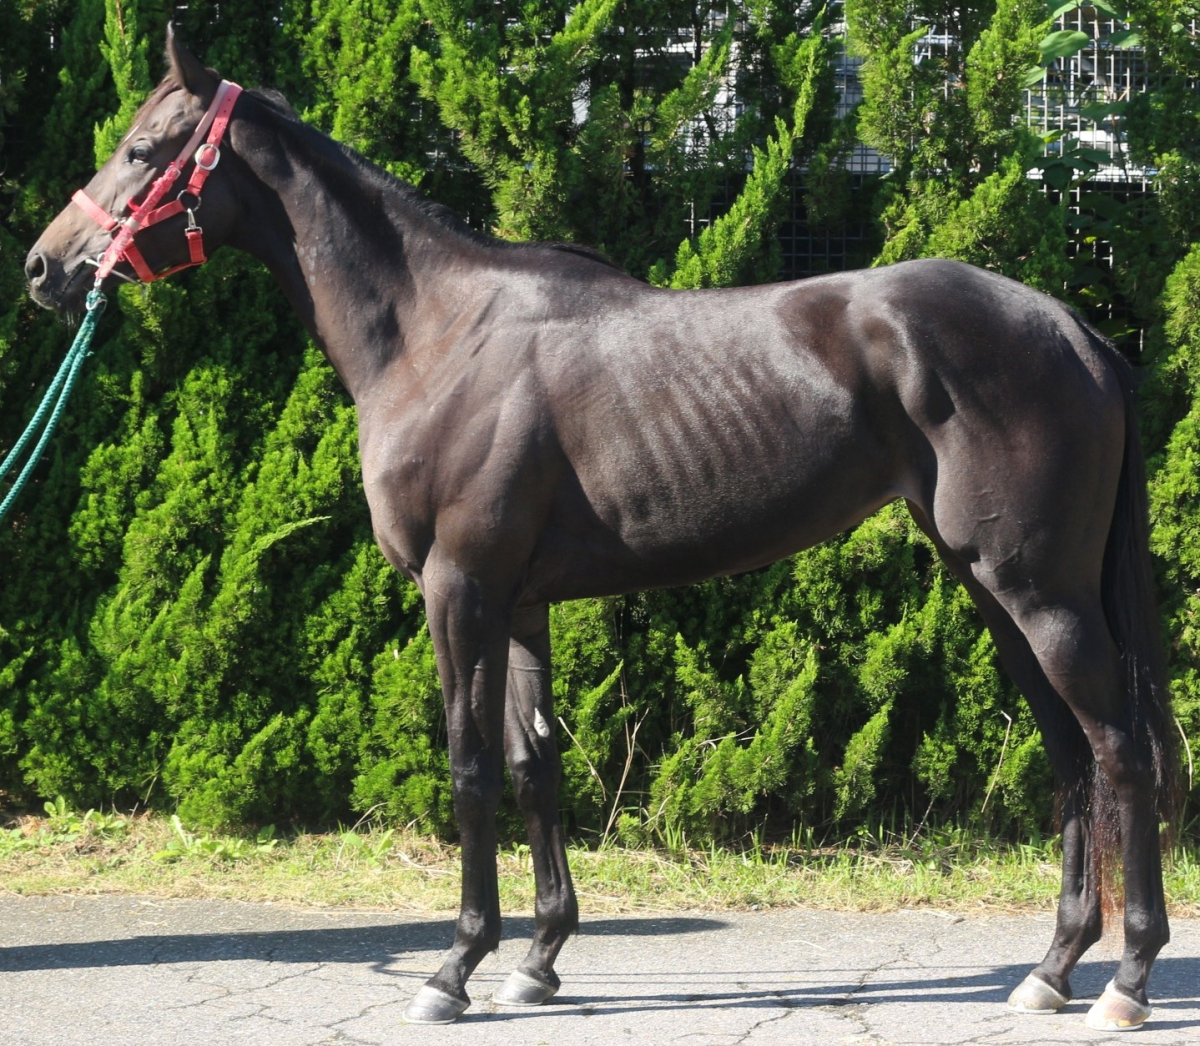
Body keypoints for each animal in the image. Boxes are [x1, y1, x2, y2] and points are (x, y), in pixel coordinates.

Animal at [25, 27, 1177, 1031]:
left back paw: (1125, 980)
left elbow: (471, 769)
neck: (437, 335)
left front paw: (454, 968)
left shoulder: (459, 588)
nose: (44, 268)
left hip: (1039, 591)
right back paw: (1051, 968)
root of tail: (1073, 329)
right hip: (994, 589)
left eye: (142, 149)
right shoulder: (519, 600)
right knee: (1069, 755)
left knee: (1118, 751)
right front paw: (537, 959)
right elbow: (535, 762)